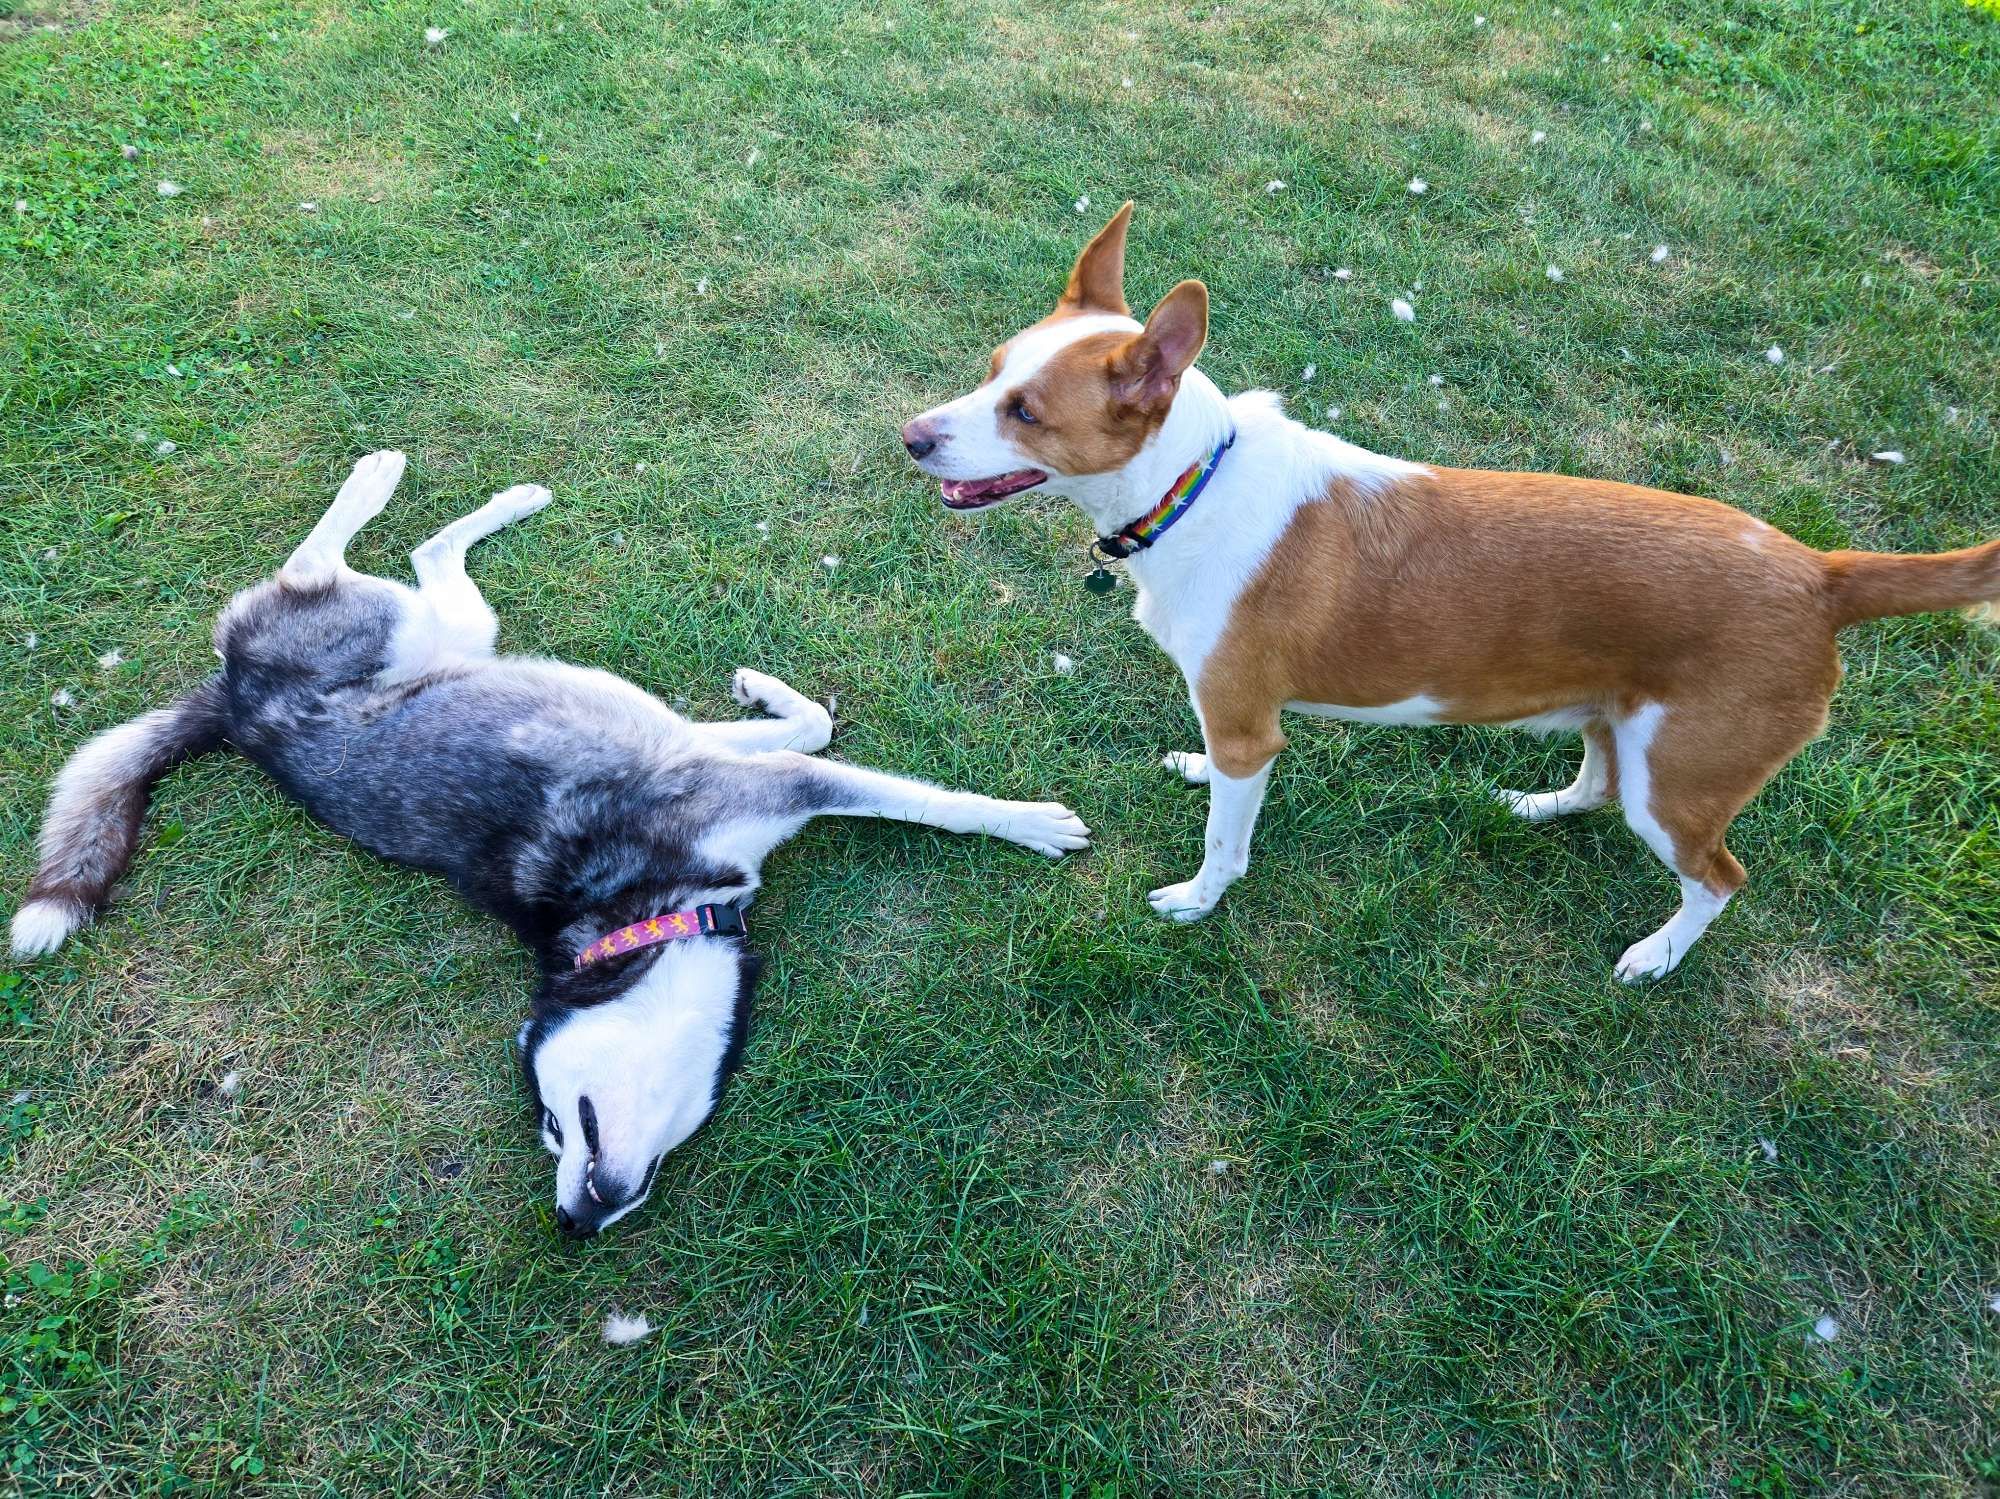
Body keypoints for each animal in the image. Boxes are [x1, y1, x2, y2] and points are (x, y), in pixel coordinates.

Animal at [900, 205, 1992, 987]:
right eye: (990, 371)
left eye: (1025, 412)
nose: (910, 435)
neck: (1191, 483)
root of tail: (1819, 569)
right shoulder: (1236, 724)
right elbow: (1216, 777)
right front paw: (1190, 768)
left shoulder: (1249, 723)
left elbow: (1225, 835)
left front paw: (1198, 899)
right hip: (1622, 723)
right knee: (1596, 782)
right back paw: (1533, 804)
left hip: (1679, 781)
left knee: (1719, 878)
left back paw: (1656, 954)